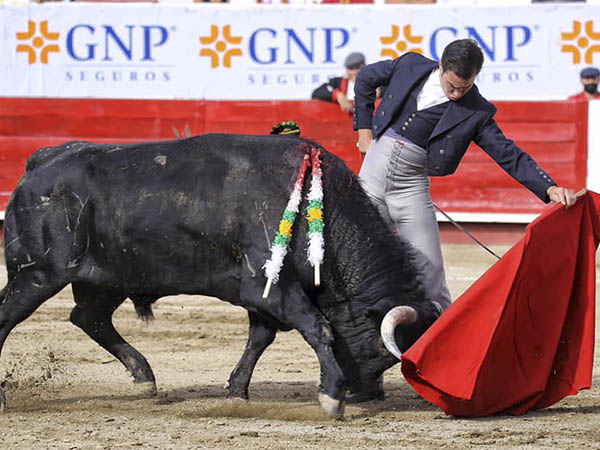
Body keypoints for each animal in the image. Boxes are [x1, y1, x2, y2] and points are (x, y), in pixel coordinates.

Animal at [0, 134, 440, 415]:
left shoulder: (262, 294)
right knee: (11, 318)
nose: (361, 390)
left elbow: (260, 338)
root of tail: (42, 160)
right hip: (36, 274)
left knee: (88, 318)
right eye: (382, 351)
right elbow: (318, 327)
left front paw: (237, 391)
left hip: (106, 279)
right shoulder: (268, 284)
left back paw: (144, 378)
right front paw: (331, 397)